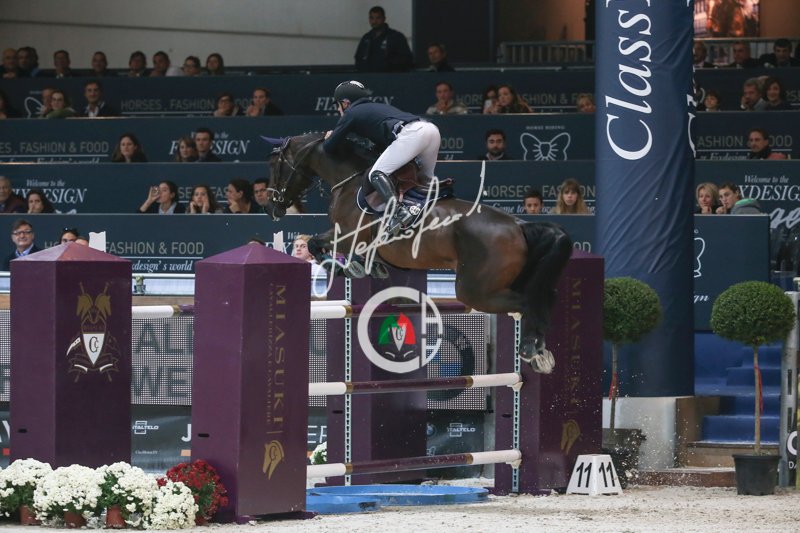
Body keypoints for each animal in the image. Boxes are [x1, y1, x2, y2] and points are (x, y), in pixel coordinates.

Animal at [265, 132, 573, 373]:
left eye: (273, 164)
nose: (271, 207)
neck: (349, 180)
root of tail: (519, 225)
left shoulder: (347, 236)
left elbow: (317, 245)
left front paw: (345, 267)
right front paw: (370, 267)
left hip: (475, 291)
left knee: (527, 302)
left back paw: (532, 349)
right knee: (544, 298)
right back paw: (541, 352)